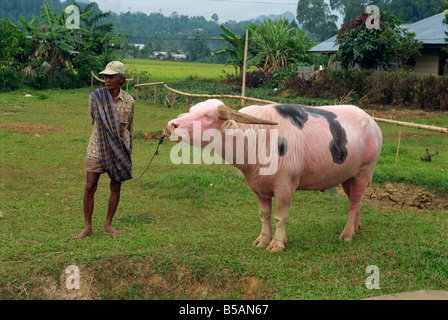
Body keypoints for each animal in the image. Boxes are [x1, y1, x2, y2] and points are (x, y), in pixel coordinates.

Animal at [166, 99, 384, 252]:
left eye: (209, 115)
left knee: (354, 202)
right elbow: (264, 215)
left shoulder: (285, 185)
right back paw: (356, 227)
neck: (256, 137)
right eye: (192, 110)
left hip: (365, 170)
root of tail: (372, 123)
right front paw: (263, 240)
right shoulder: (256, 186)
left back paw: (347, 234)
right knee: (355, 200)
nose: (172, 125)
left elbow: (280, 216)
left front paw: (277, 243)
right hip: (348, 175)